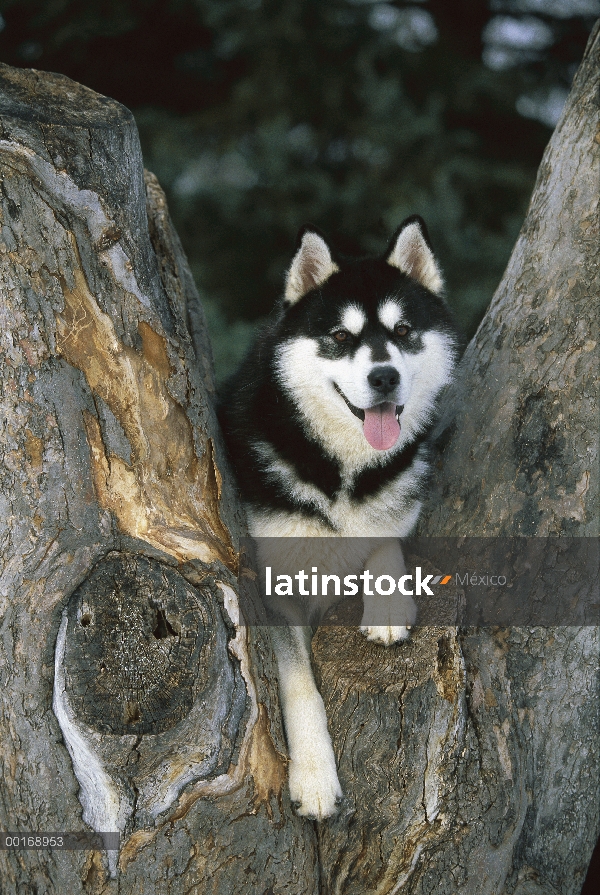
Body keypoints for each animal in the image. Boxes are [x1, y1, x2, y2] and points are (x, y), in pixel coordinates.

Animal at [220, 217, 460, 820]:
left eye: (403, 330)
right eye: (341, 337)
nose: (384, 377)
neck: (343, 469)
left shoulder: (393, 502)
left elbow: (385, 537)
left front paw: (388, 604)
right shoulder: (276, 581)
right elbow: (299, 682)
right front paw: (313, 776)